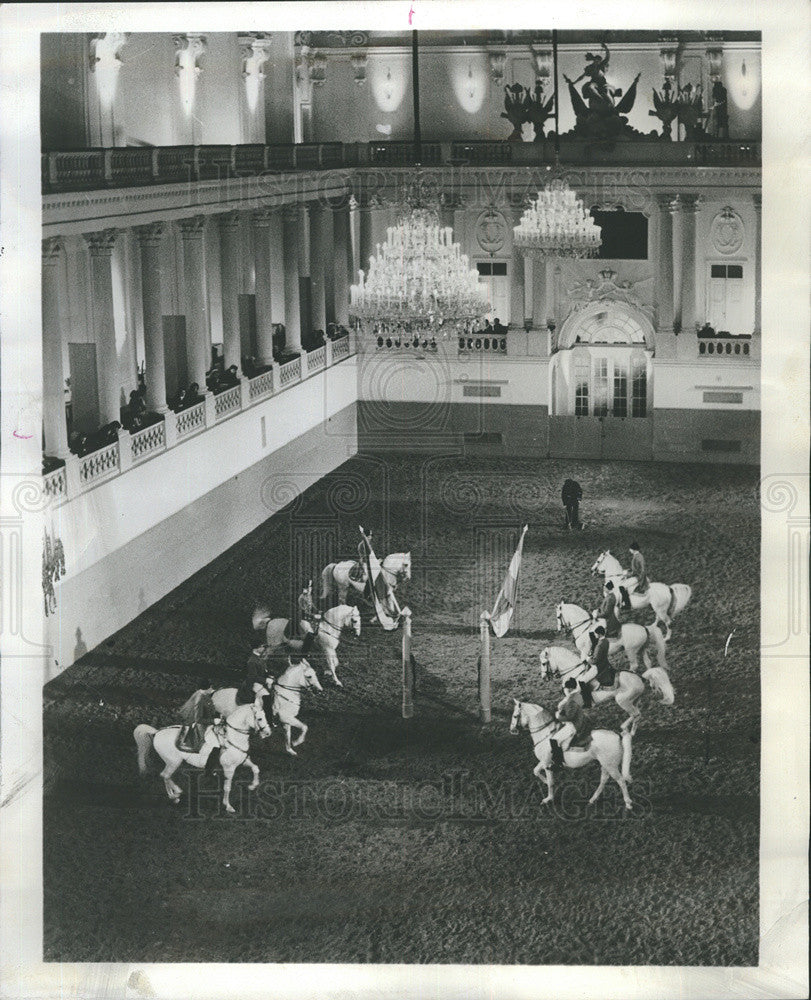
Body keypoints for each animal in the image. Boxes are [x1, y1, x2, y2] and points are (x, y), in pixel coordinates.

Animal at [134, 700, 272, 816]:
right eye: (259, 718)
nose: (268, 733)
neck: (232, 736)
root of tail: (157, 732)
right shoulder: (229, 768)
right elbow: (227, 787)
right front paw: (228, 806)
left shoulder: (243, 761)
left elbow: (256, 768)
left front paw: (253, 786)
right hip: (173, 762)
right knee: (165, 775)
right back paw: (175, 795)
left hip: (173, 763)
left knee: (166, 776)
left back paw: (176, 795)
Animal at [544, 644, 676, 732]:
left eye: (544, 663)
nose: (544, 677)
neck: (575, 673)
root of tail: (640, 677)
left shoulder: (573, 697)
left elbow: (561, 705)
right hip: (634, 700)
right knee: (637, 715)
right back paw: (631, 732)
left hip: (622, 700)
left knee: (636, 714)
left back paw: (624, 728)